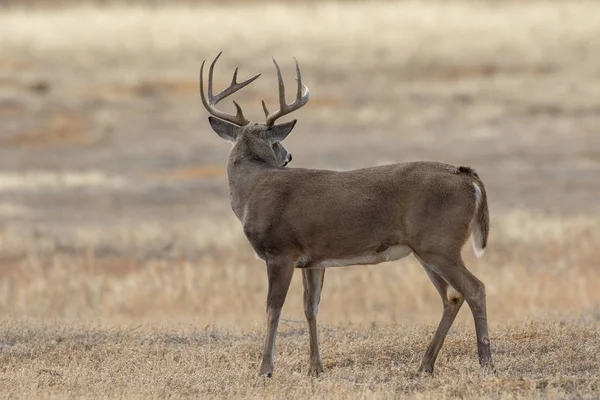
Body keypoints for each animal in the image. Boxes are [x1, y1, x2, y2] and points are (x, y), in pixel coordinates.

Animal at [199, 53, 494, 378]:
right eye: (275, 143)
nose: (288, 156)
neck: (253, 189)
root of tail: (468, 177)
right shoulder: (312, 259)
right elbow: (311, 307)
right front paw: (316, 367)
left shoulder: (281, 253)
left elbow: (272, 309)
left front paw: (265, 369)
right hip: (427, 249)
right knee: (452, 296)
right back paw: (425, 366)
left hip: (439, 243)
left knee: (475, 289)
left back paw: (486, 362)